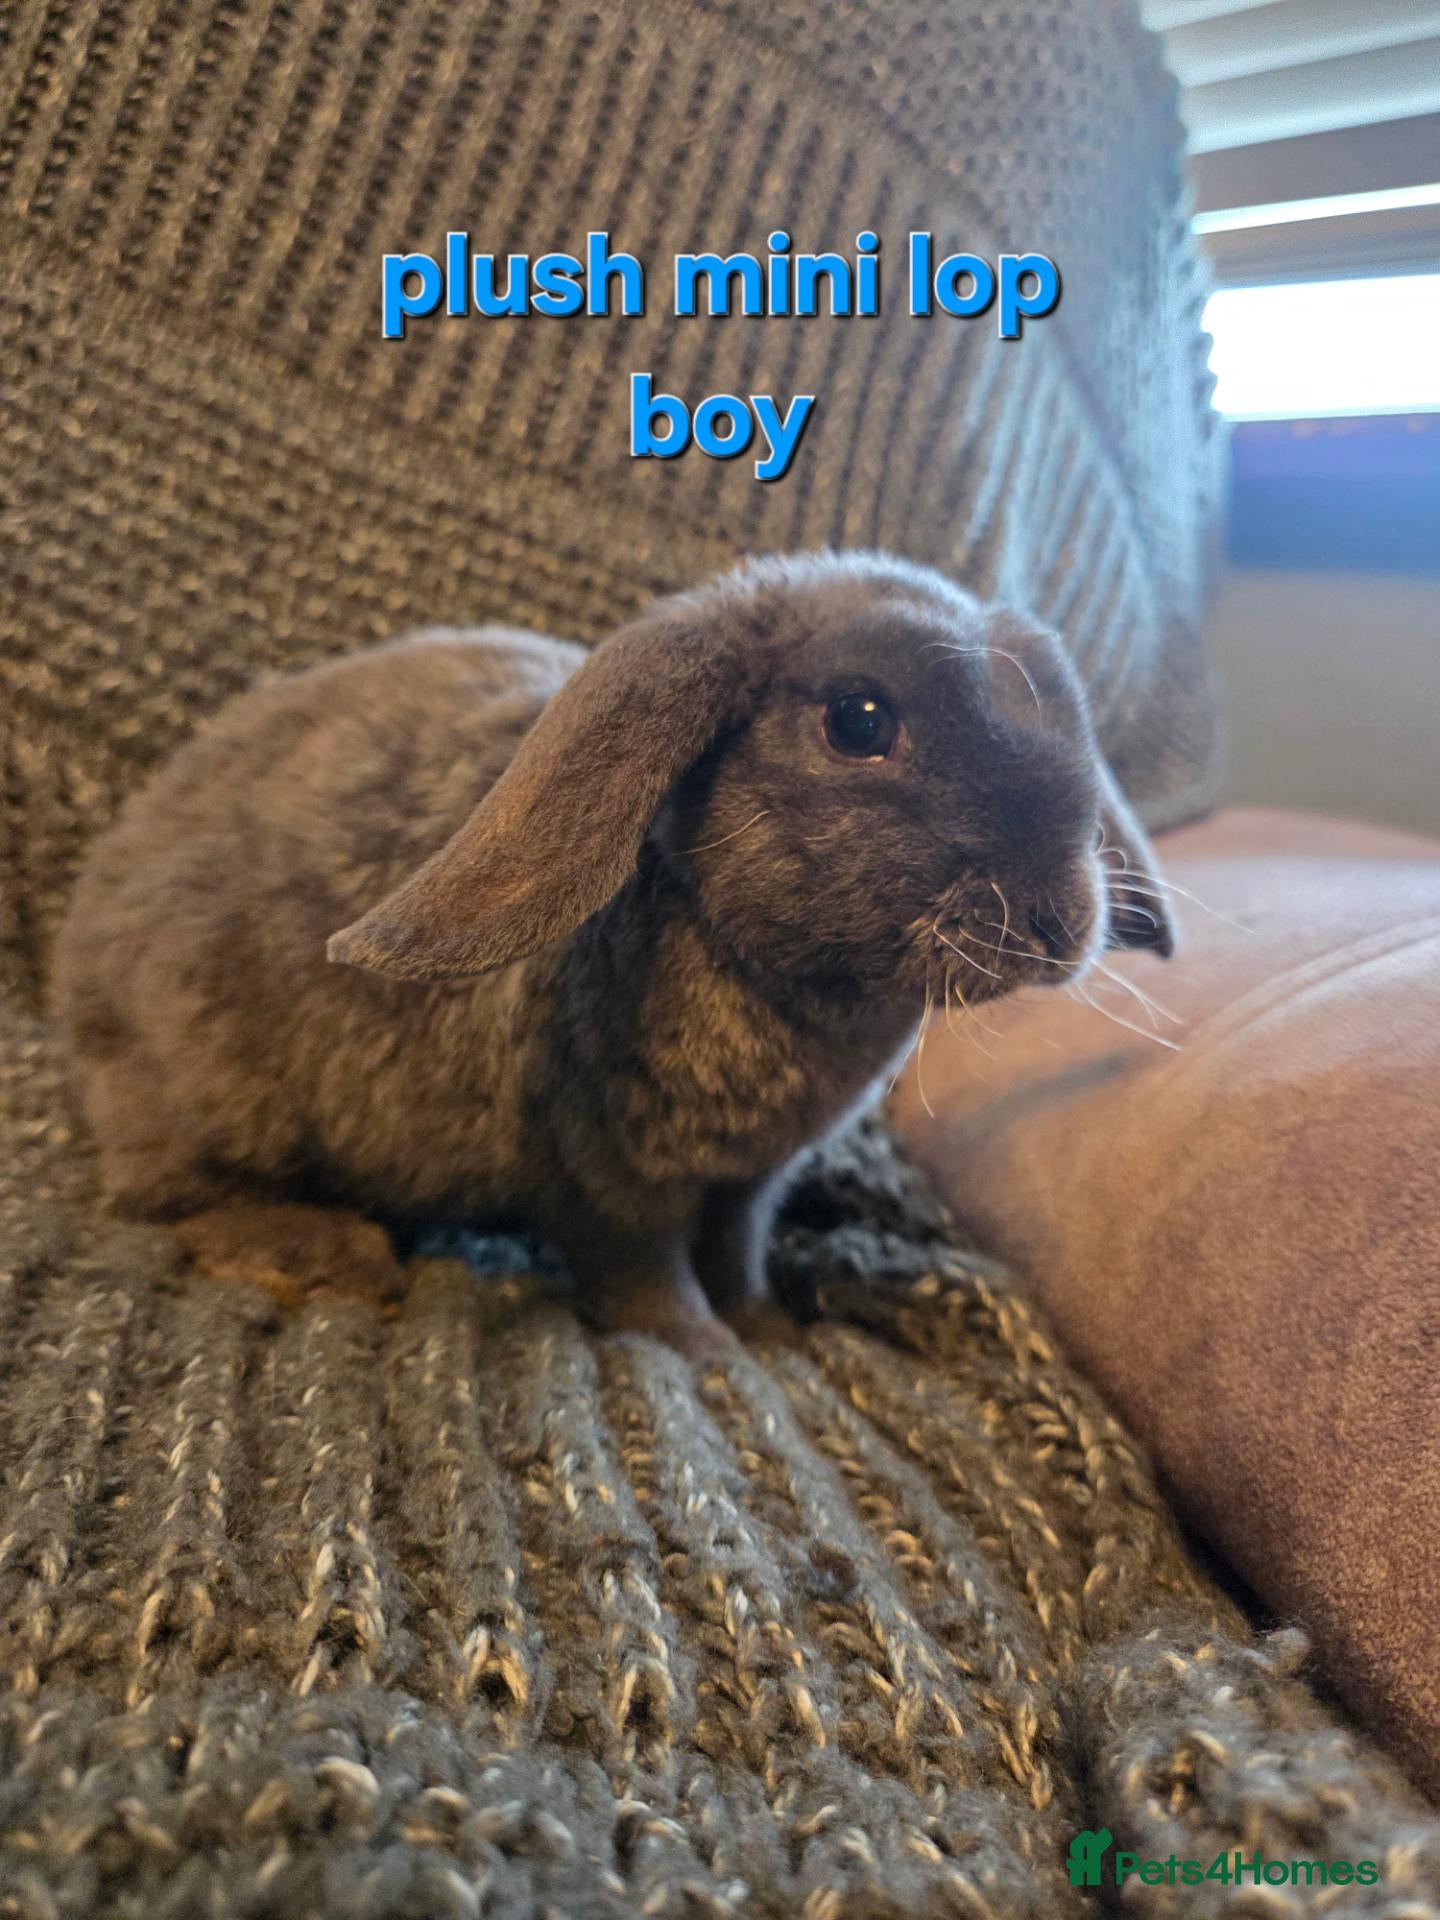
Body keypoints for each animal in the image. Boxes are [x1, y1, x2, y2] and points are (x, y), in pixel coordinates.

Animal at [53, 551, 1174, 1352]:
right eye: (859, 721)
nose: (1058, 918)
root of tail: (84, 957)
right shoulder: (604, 1174)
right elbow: (646, 1270)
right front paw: (704, 1349)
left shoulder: (745, 1186)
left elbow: (737, 1252)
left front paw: (767, 1331)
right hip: (218, 1093)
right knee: (168, 1195)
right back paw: (328, 1255)